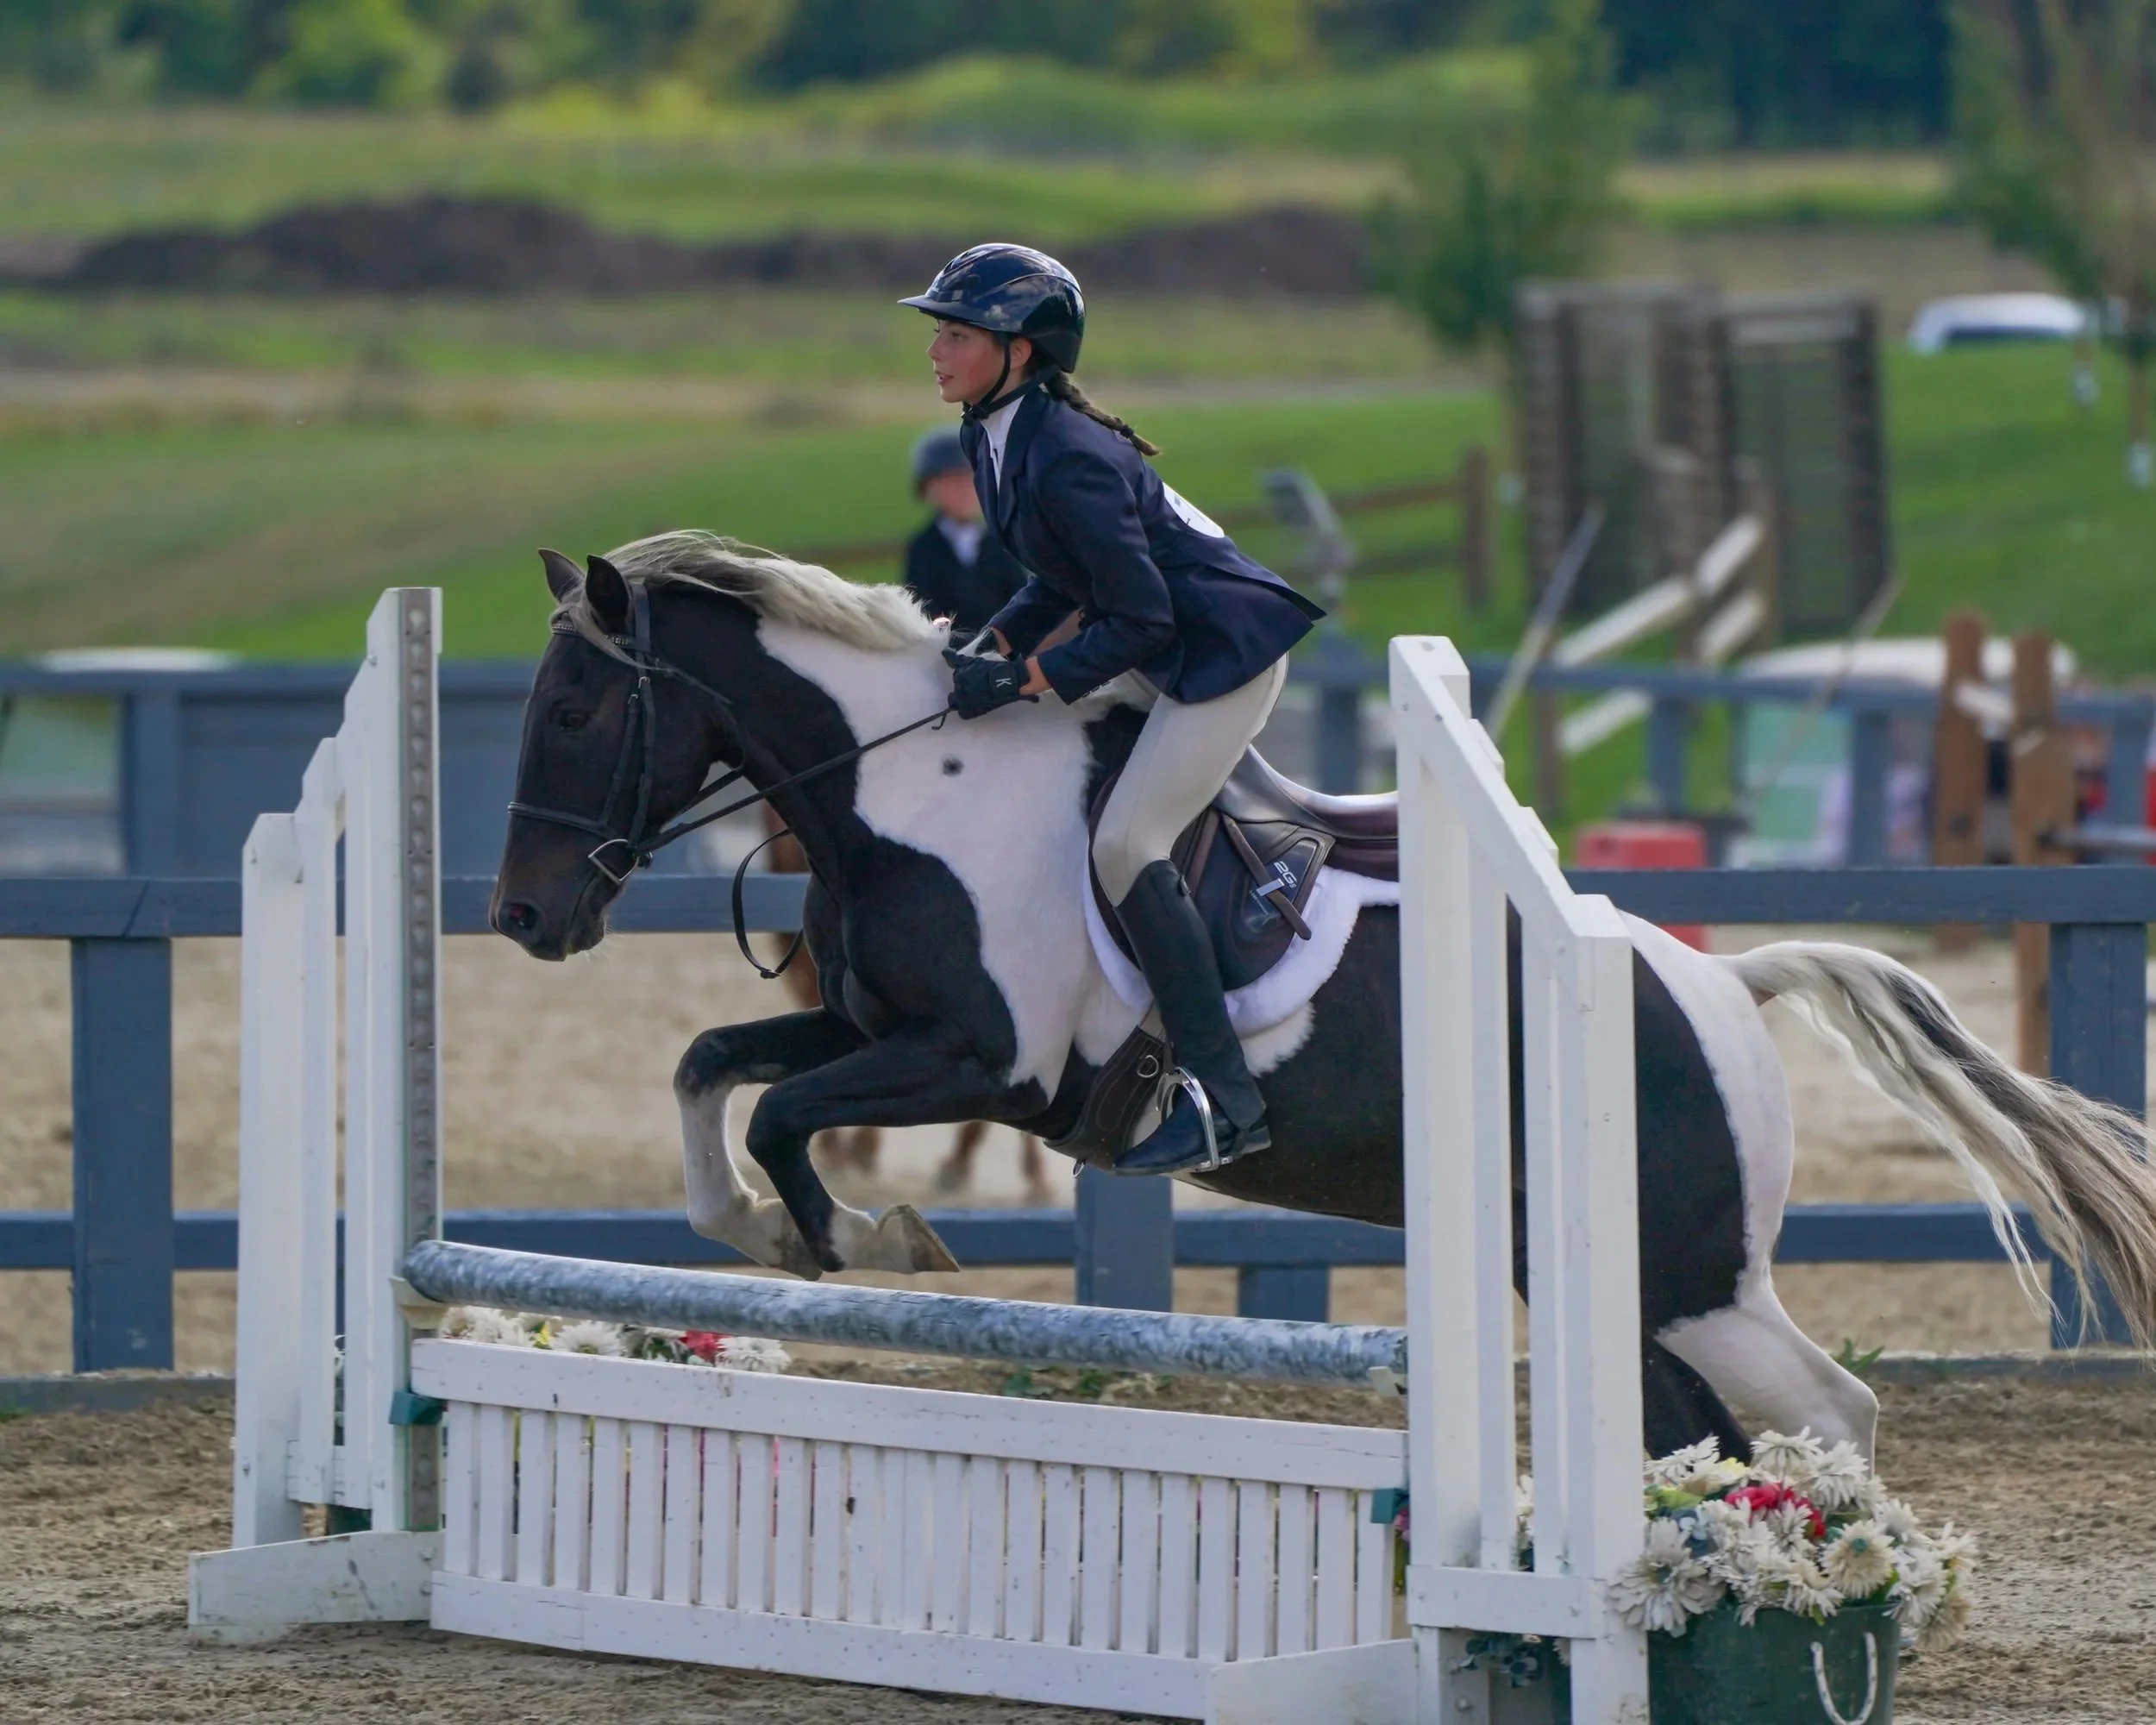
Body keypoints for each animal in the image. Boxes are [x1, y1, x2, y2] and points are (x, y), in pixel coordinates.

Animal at [490, 531, 2156, 1458]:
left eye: (573, 711)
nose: (522, 917)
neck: (906, 785)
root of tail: (1723, 981)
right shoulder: (875, 1028)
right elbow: (716, 1063)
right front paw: (757, 1228)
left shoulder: (976, 1060)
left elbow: (788, 1115)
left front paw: (861, 1238)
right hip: (1599, 1270)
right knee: (1698, 1429)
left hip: (1692, 1274)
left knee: (1830, 1413)